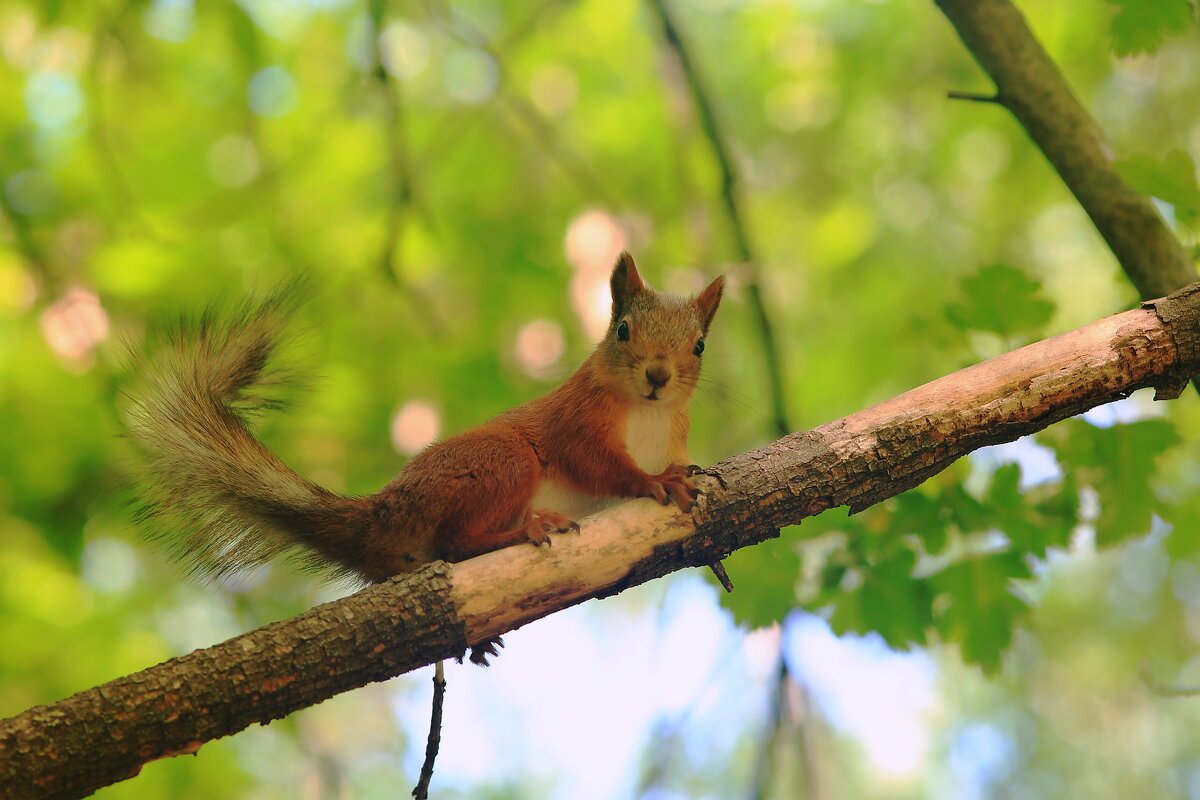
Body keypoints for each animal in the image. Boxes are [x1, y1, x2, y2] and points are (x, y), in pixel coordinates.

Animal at [124, 250, 720, 657]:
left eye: (699, 346)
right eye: (623, 329)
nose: (658, 376)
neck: (646, 414)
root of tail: (386, 511)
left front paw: (675, 469)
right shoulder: (575, 423)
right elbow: (600, 465)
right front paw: (653, 482)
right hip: (504, 461)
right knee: (456, 540)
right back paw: (522, 529)